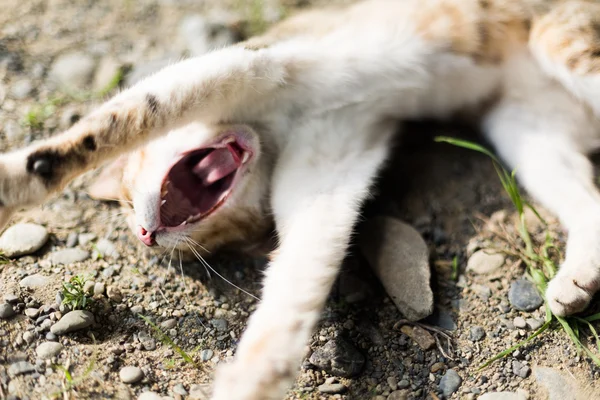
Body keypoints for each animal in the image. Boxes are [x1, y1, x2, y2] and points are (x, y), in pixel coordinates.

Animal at [1, 0, 600, 398]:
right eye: (216, 247)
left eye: (126, 201)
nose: (147, 235)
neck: (271, 134)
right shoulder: (327, 180)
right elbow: (297, 285)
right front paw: (254, 377)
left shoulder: (248, 64)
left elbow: (118, 121)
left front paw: (19, 180)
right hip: (527, 130)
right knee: (588, 204)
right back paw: (576, 282)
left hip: (563, 45)